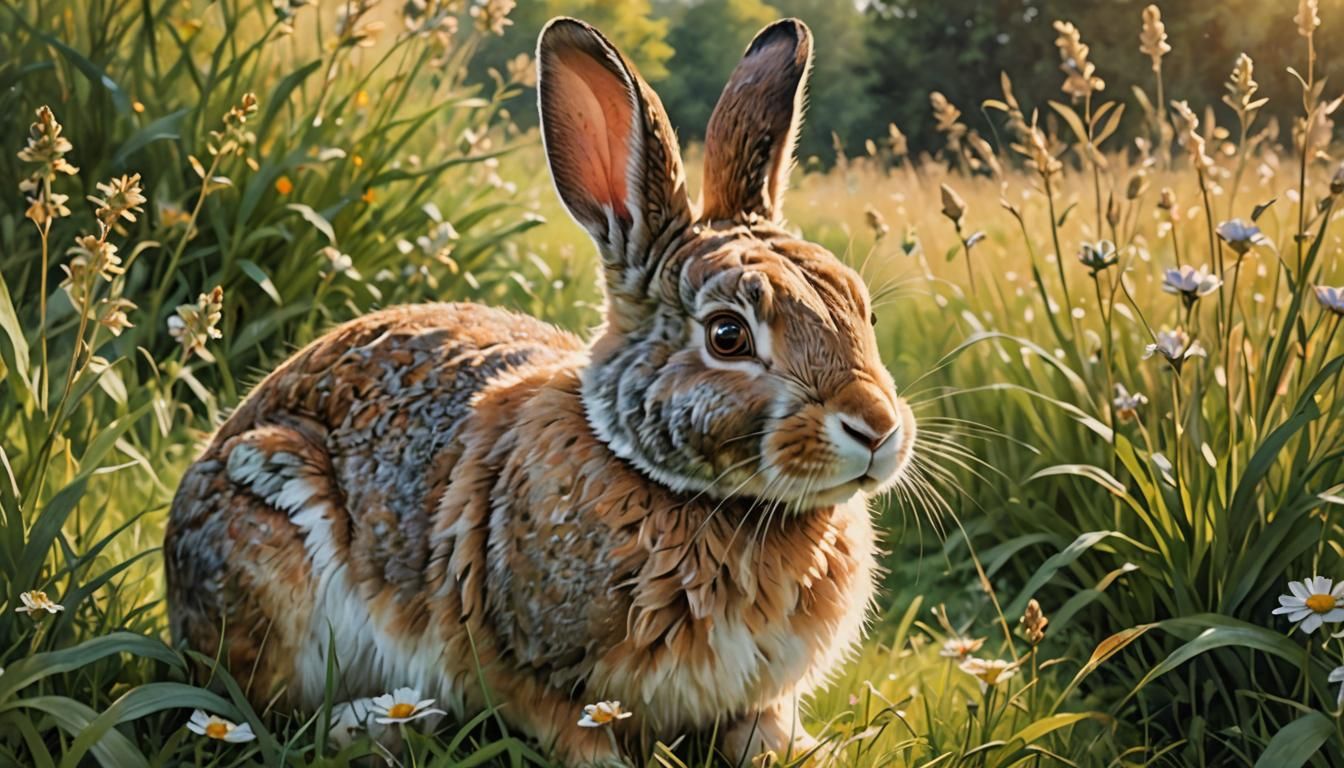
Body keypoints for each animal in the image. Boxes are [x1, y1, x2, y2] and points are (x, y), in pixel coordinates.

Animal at [164, 15, 916, 767]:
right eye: (728, 335)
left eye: (865, 313)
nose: (877, 428)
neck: (700, 499)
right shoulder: (535, 676)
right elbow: (577, 736)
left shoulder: (759, 698)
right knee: (263, 709)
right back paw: (383, 725)